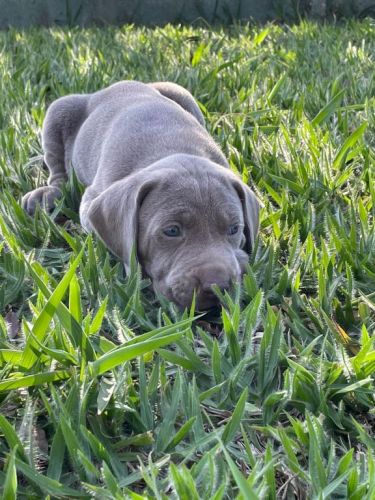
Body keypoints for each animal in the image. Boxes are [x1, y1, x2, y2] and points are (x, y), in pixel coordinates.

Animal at [22, 81, 258, 308]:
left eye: (234, 229)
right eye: (172, 231)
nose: (217, 286)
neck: (175, 151)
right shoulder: (91, 199)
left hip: (180, 92)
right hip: (59, 109)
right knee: (57, 169)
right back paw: (47, 194)